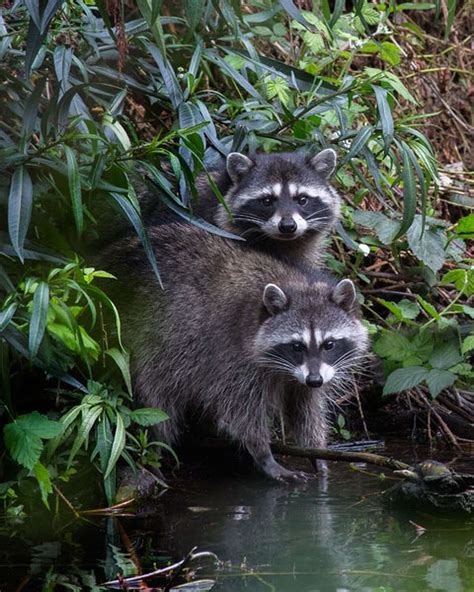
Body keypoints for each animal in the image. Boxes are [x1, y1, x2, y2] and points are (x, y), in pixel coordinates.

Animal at [104, 222, 370, 480]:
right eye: (296, 346)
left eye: (329, 344)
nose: (314, 380)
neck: (296, 283)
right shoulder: (231, 356)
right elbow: (241, 409)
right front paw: (264, 454)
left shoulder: (308, 376)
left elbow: (305, 408)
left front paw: (316, 453)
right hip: (145, 340)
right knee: (156, 397)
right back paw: (156, 451)